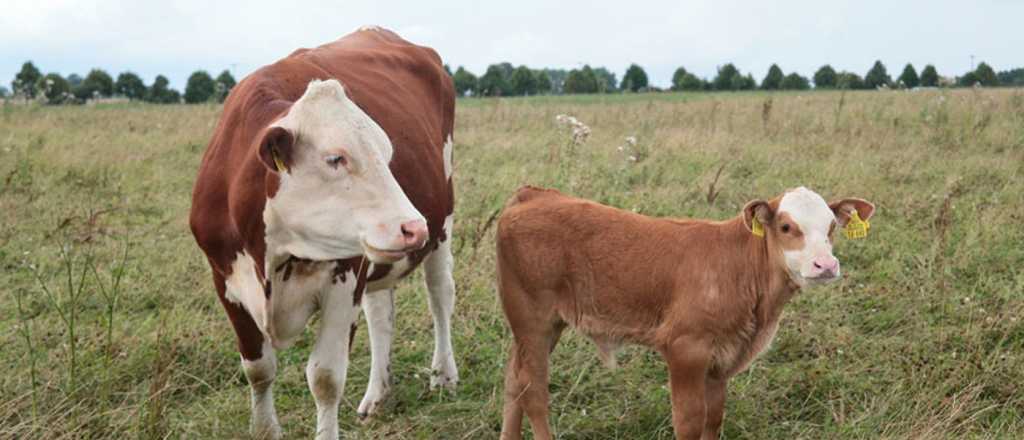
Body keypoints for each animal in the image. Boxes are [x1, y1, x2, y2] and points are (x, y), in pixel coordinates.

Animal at [190, 27, 454, 440]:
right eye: (335, 158)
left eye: (387, 153)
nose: (413, 227)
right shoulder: (226, 281)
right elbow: (258, 369)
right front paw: (265, 429)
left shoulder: (344, 278)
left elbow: (325, 379)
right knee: (381, 314)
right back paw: (377, 394)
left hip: (443, 217)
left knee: (440, 294)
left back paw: (443, 375)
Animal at [493, 185, 872, 440]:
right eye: (786, 227)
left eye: (832, 228)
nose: (826, 265)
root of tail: (534, 194)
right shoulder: (685, 348)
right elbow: (689, 421)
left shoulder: (721, 360)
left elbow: (713, 418)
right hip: (532, 317)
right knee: (533, 390)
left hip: (540, 324)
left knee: (513, 379)